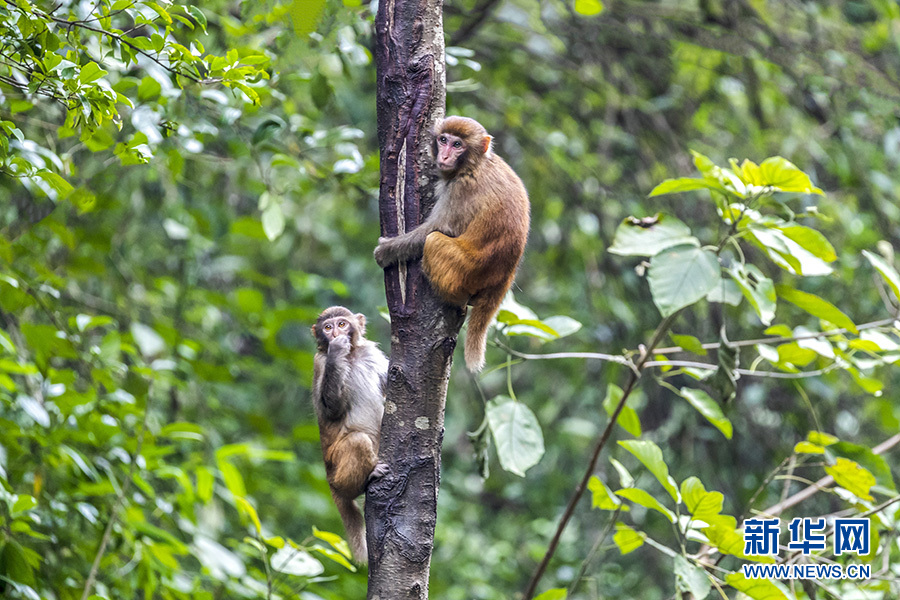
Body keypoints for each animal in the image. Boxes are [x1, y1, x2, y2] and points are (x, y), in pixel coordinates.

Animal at [312, 304, 388, 564]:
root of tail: (328, 477)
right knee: (358, 441)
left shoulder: (372, 354)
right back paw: (365, 480)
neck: (353, 356)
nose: (336, 334)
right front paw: (337, 351)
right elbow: (331, 409)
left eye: (342, 324)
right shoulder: (319, 363)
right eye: (328, 327)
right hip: (337, 467)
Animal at [370, 115, 528, 372]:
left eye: (457, 145)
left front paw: (386, 250)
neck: (475, 164)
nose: (444, 156)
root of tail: (506, 275)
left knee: (434, 241)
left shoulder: (461, 189)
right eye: (443, 140)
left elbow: (436, 230)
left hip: (465, 271)